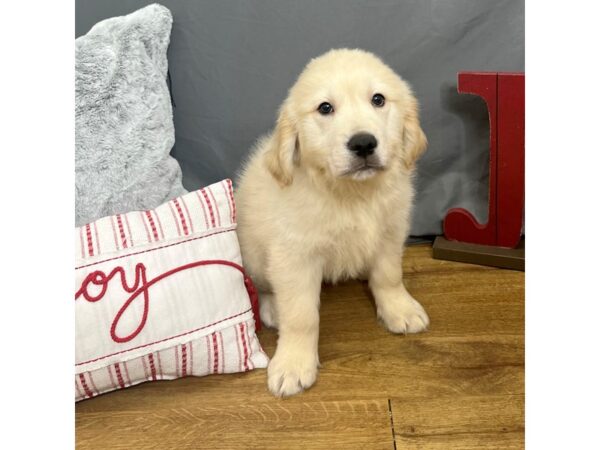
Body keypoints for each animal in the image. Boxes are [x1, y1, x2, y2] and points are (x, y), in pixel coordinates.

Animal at [234, 47, 426, 396]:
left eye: (378, 99)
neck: (351, 194)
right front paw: (294, 363)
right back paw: (273, 309)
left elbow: (389, 276)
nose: (363, 143)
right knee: (263, 285)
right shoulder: (294, 256)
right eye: (325, 108)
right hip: (254, 252)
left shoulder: (391, 232)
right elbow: (301, 316)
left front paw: (399, 309)